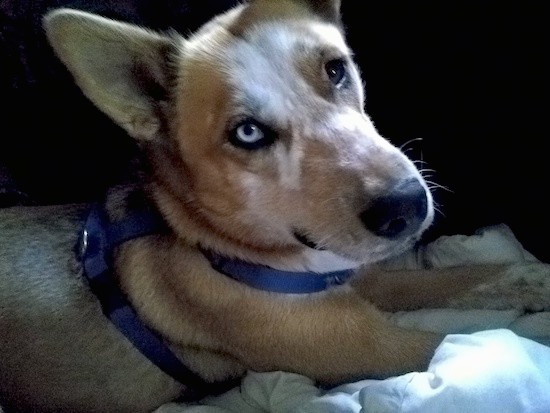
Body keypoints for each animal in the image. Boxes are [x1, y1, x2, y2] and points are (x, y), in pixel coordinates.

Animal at [1, 0, 548, 412]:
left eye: (336, 69)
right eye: (247, 133)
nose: (407, 206)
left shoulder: (357, 279)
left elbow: (463, 279)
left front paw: (535, 279)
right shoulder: (369, 347)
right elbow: (488, 338)